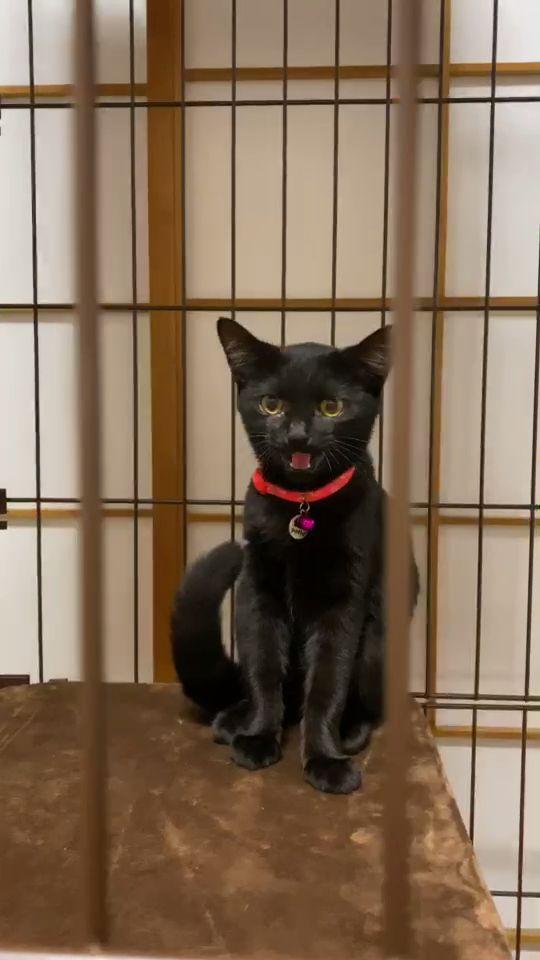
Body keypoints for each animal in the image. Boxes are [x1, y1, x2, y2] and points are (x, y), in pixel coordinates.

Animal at [171, 317, 419, 794]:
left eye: (330, 407)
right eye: (271, 404)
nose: (298, 435)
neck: (302, 509)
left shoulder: (345, 599)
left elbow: (328, 682)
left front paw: (325, 759)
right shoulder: (258, 589)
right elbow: (265, 667)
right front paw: (259, 736)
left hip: (379, 638)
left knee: (361, 695)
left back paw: (351, 731)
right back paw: (236, 718)